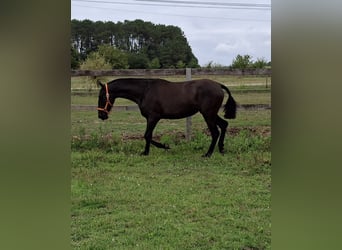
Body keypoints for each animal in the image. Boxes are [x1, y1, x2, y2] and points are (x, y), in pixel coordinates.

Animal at [97, 78, 236, 156]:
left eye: (102, 96)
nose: (101, 115)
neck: (145, 91)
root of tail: (218, 85)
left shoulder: (153, 117)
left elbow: (147, 135)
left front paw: (162, 147)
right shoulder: (151, 118)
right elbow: (148, 136)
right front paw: (148, 152)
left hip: (208, 114)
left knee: (215, 132)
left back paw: (208, 154)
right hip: (211, 114)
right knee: (224, 125)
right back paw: (221, 149)